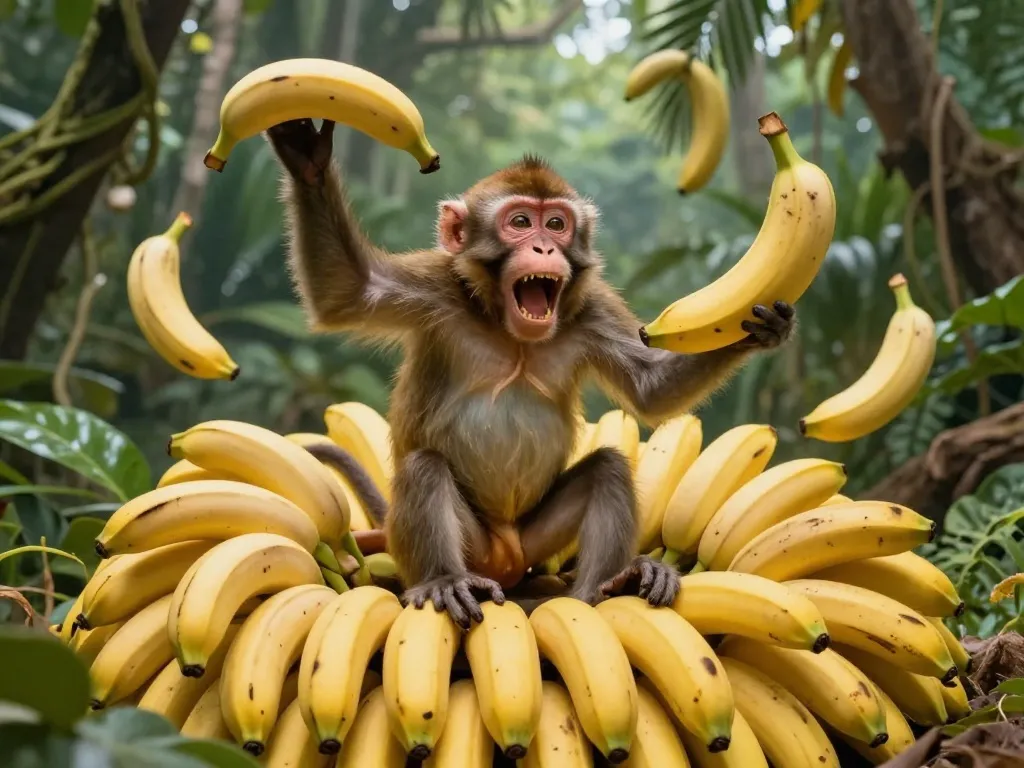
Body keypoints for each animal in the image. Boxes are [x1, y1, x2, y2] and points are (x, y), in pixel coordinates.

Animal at [267, 118, 795, 630]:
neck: (510, 329)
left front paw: (759, 329)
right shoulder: (436, 287)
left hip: (535, 537)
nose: (543, 247)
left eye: (557, 224)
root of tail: (505, 557)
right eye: (520, 222)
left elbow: (652, 391)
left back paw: (606, 587)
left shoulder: (590, 309)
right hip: (471, 542)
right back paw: (443, 581)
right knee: (424, 468)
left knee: (608, 468)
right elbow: (348, 291)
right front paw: (308, 160)